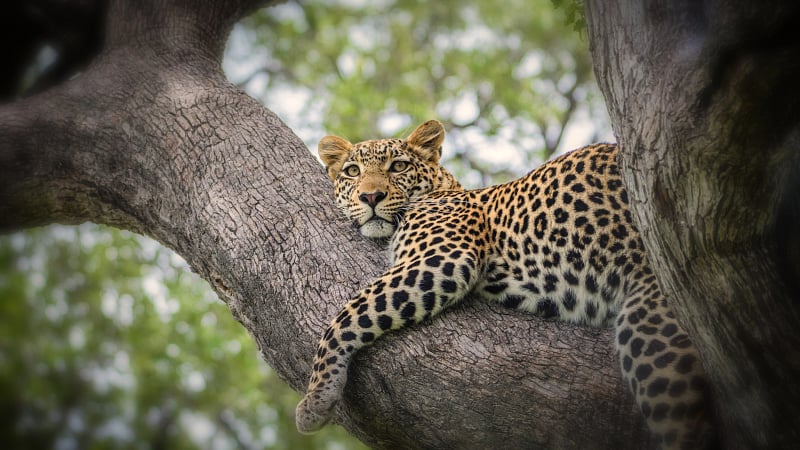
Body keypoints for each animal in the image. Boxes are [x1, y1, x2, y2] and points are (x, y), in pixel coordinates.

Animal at [296, 120, 714, 449]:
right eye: (352, 171)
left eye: (398, 166)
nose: (371, 196)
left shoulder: (442, 258)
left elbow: (348, 313)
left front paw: (315, 399)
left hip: (652, 319)